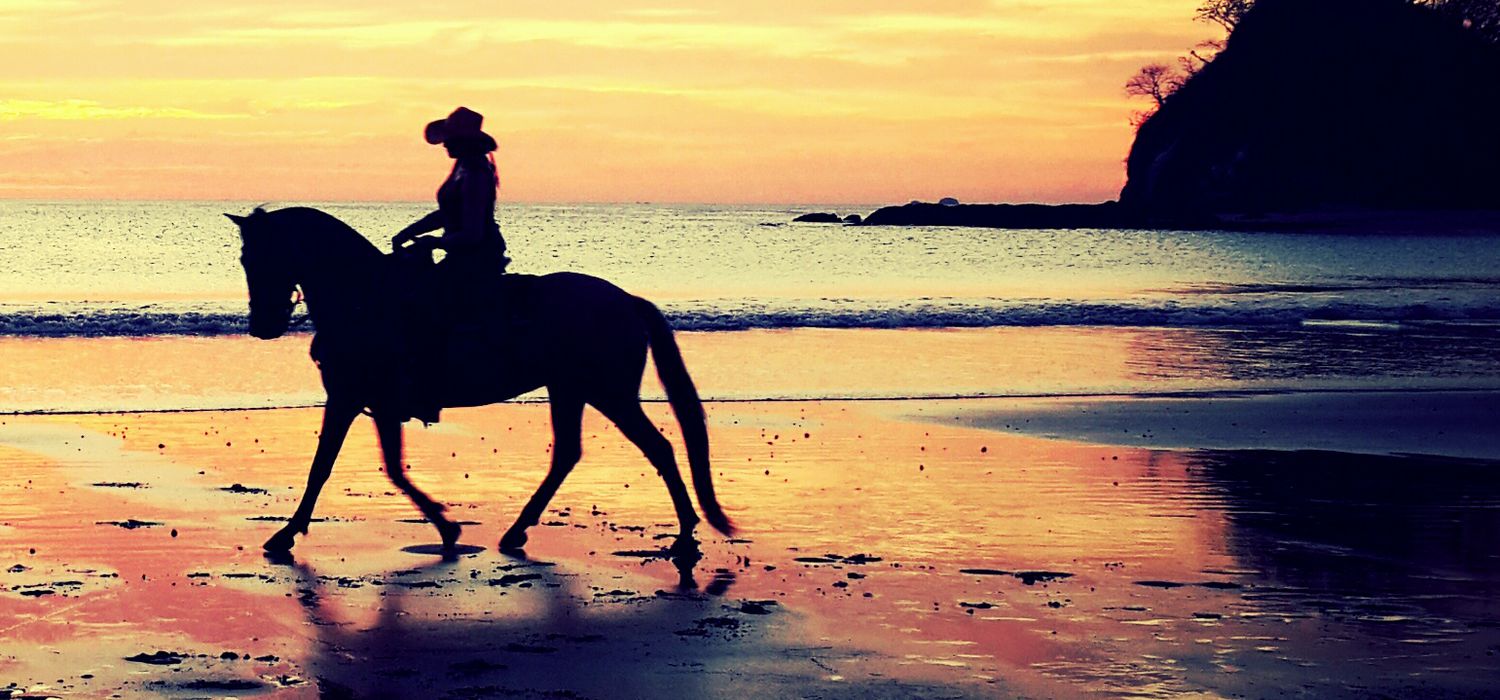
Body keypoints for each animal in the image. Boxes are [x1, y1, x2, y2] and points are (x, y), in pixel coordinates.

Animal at [222, 205, 732, 557]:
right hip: (570, 389)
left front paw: (286, 534)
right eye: (245, 260)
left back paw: (685, 534)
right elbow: (379, 467)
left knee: (657, 448)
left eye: (260, 258)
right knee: (569, 454)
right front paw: (445, 526)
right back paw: (518, 530)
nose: (261, 325)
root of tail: (627, 300)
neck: (364, 296)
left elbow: (329, 467)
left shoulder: (353, 397)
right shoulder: (369, 401)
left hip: (609, 393)